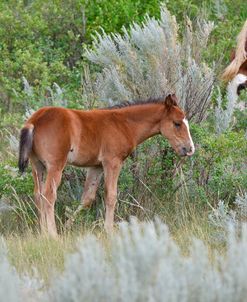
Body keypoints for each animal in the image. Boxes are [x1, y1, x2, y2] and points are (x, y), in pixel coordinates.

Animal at [18, 93, 195, 237]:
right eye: (177, 123)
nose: (190, 148)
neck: (123, 124)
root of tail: (35, 120)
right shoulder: (112, 162)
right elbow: (111, 195)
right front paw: (108, 230)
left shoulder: (96, 166)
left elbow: (87, 198)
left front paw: (67, 226)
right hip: (55, 166)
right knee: (49, 195)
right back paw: (52, 234)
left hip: (37, 166)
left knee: (38, 195)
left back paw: (43, 233)